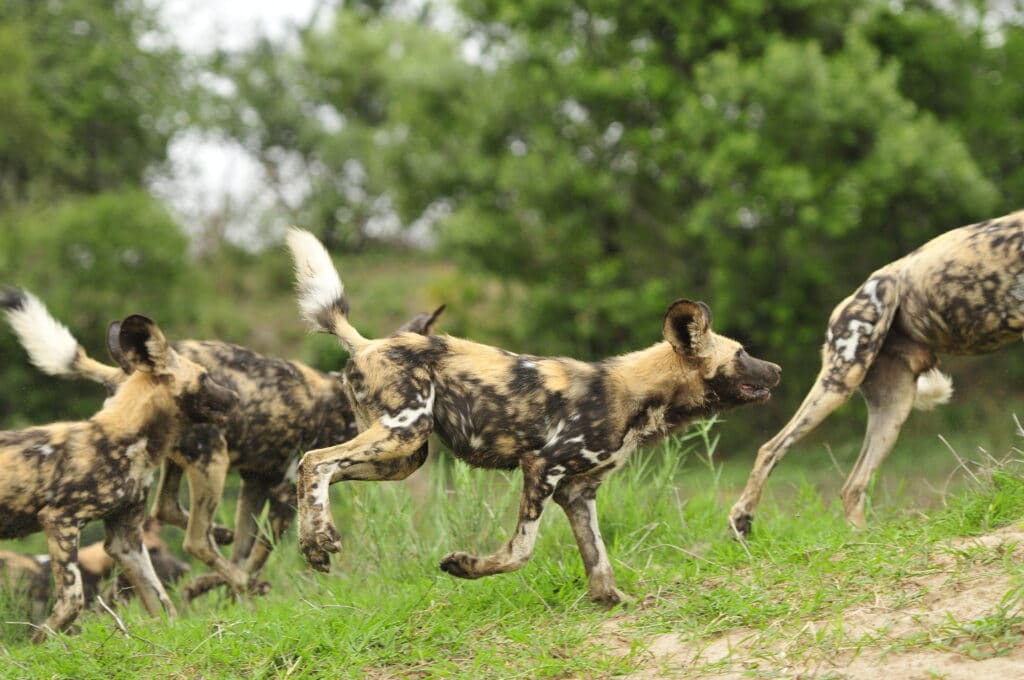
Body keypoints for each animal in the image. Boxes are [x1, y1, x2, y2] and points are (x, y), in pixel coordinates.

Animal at [3, 286, 444, 602]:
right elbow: (259, 556)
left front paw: (226, 593)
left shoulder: (255, 484)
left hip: (183, 462)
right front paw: (237, 593)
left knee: (169, 512)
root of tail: (126, 372)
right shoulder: (284, 492)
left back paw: (215, 545)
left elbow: (244, 552)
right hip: (211, 461)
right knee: (195, 538)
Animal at [284, 229, 778, 606]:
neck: (639, 394)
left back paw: (315, 543)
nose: (776, 369)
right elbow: (520, 551)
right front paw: (465, 567)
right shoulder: (542, 466)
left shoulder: (578, 493)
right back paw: (318, 540)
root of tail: (367, 342)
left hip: (402, 455)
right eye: (742, 355)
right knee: (315, 460)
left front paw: (611, 601)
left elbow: (598, 557)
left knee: (320, 469)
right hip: (403, 432)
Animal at [729, 208, 1024, 536]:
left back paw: (860, 539)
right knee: (771, 449)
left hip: (893, 410)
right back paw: (743, 517)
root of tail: (848, 301)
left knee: (852, 487)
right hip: (840, 383)